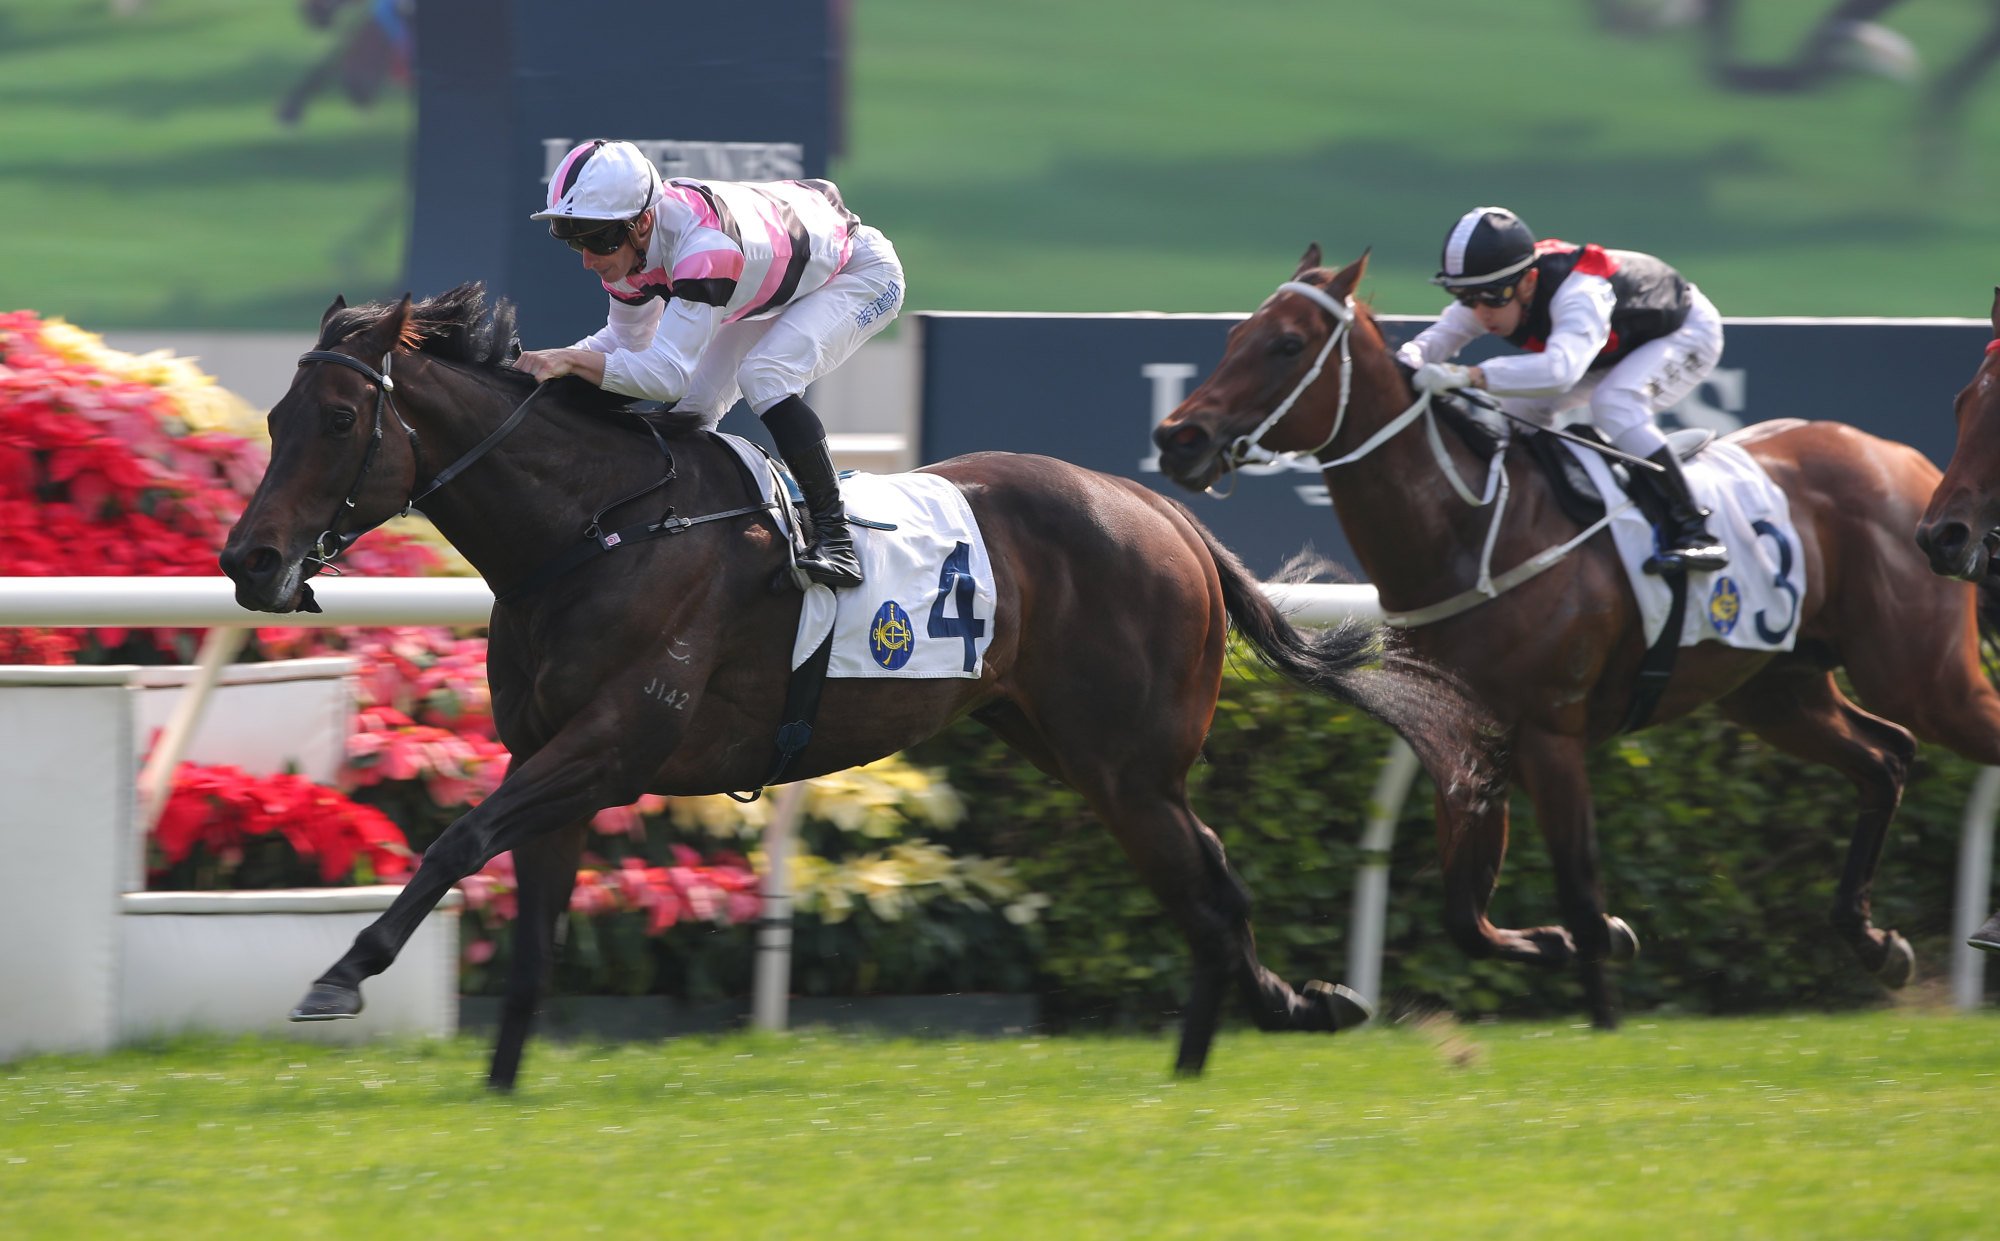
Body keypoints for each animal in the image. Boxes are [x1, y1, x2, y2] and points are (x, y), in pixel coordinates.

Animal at [223, 280, 1504, 1088]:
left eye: (337, 416)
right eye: (276, 412)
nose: (247, 558)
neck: (595, 527)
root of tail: (1166, 513)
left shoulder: (611, 741)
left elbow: (454, 838)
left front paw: (340, 973)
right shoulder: (552, 754)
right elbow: (526, 920)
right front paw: (495, 1080)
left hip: (1126, 758)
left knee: (1210, 885)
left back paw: (1261, 1022)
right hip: (1082, 755)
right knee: (1202, 881)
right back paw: (1237, 1033)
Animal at [1152, 247, 2000, 1024]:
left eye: (1288, 344)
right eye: (1235, 333)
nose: (1178, 437)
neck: (1472, 532)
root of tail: (1906, 462)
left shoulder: (1550, 733)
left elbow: (1582, 897)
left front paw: (1604, 1002)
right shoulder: (1463, 740)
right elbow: (1468, 917)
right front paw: (1565, 944)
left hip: (1922, 673)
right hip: (1775, 689)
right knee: (1884, 755)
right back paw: (1874, 941)